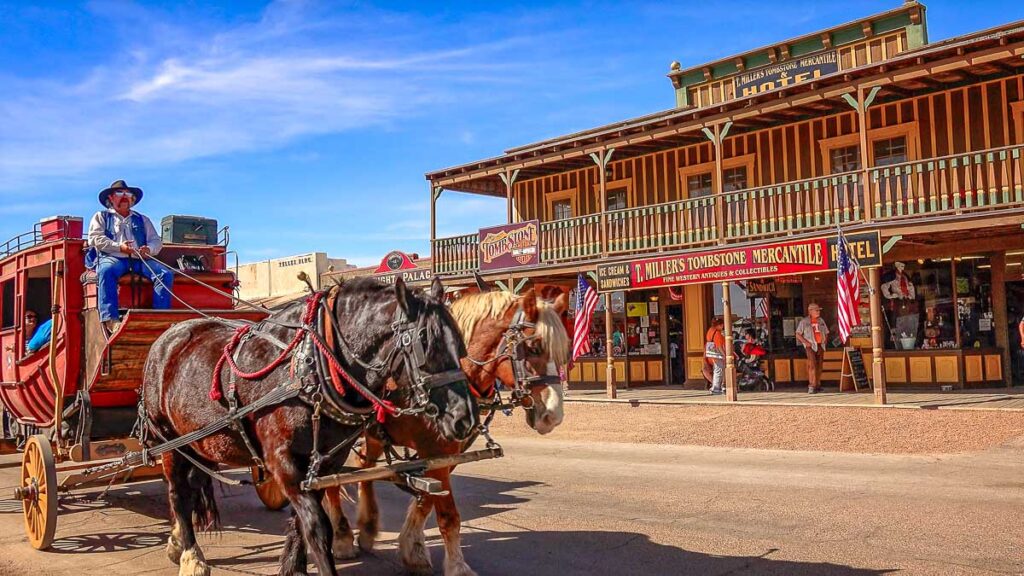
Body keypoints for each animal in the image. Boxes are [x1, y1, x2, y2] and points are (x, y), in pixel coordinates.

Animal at [142, 276, 477, 569]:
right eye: (425, 344)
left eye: (460, 344)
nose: (465, 418)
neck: (312, 366)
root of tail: (169, 334)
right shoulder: (283, 462)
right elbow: (317, 528)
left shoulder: (325, 463)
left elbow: (300, 524)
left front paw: (293, 566)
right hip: (168, 441)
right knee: (178, 493)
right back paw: (191, 555)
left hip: (198, 443)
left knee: (192, 485)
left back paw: (177, 542)